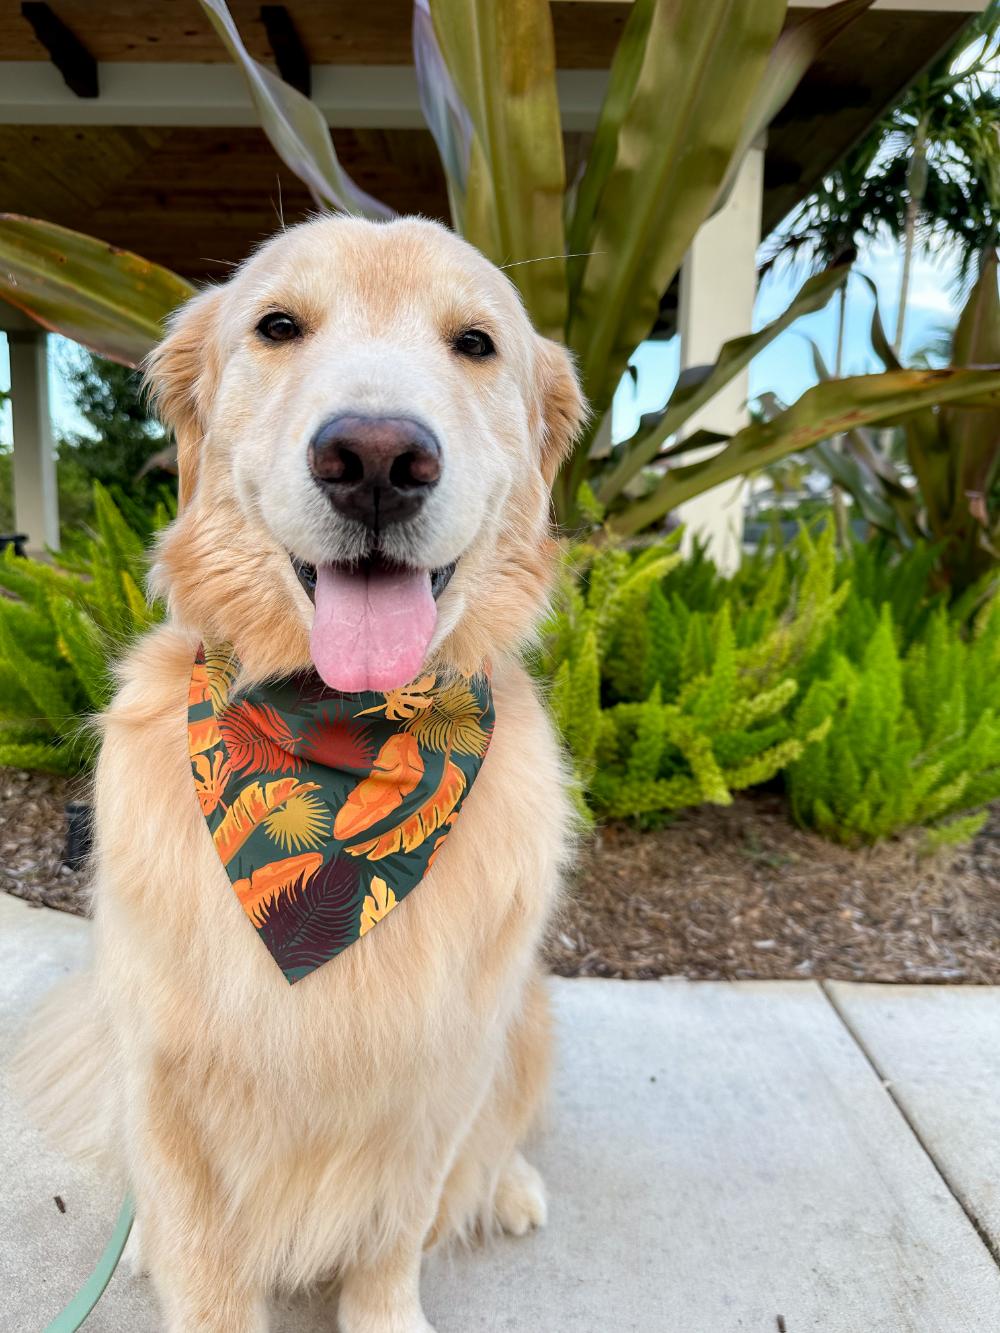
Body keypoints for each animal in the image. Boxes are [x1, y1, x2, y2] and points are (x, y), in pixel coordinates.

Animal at [13, 213, 586, 1327]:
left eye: (476, 342)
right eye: (278, 325)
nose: (377, 457)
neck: (346, 736)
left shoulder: (437, 1070)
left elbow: (397, 1234)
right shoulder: (166, 1072)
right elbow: (201, 1262)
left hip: (527, 1016)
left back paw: (510, 1187)